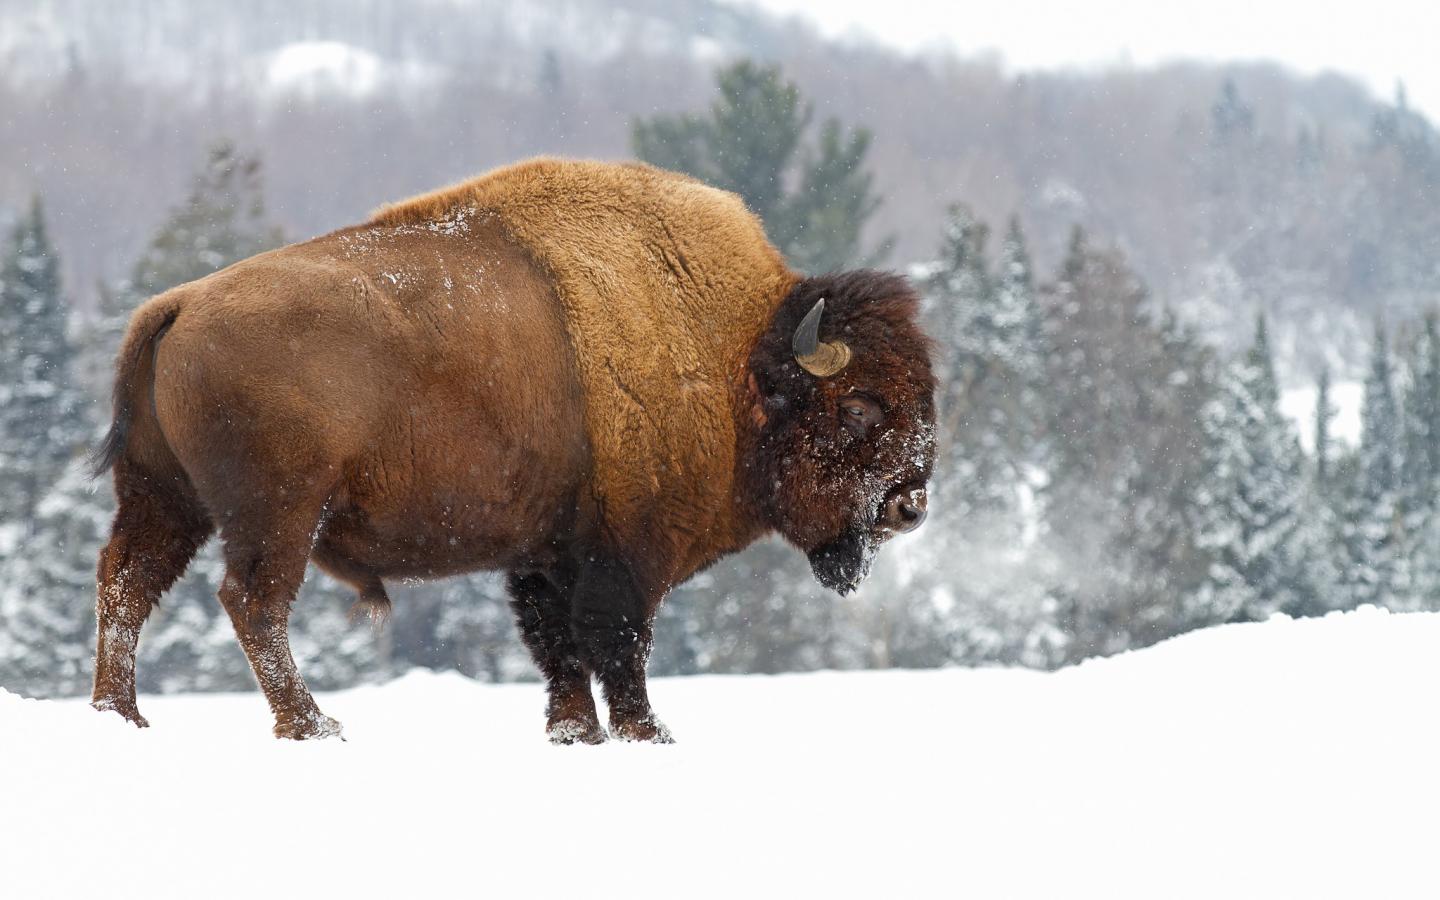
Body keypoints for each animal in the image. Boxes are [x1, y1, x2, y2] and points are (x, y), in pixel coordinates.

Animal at [90, 158, 936, 742]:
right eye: (858, 406)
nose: (911, 504)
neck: (734, 356)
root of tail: (178, 305)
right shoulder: (624, 553)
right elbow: (618, 642)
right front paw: (647, 732)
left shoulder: (545, 552)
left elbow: (557, 645)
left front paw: (575, 732)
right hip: (278, 513)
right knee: (253, 602)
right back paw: (312, 725)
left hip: (167, 500)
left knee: (126, 585)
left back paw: (120, 716)